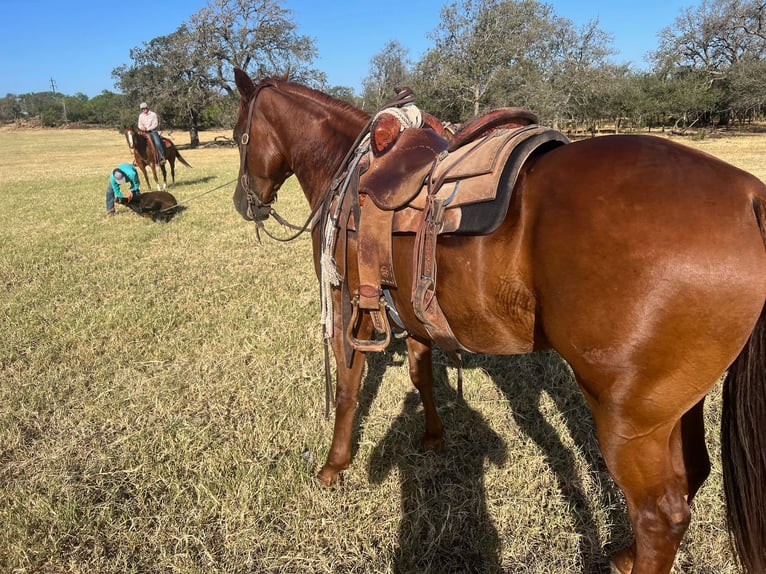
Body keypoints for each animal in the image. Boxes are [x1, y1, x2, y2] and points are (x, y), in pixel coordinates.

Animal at [231, 68, 766, 574]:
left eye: (239, 137)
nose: (243, 202)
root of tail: (750, 197)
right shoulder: (411, 311)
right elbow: (421, 374)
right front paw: (433, 437)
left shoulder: (348, 303)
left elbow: (347, 389)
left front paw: (333, 467)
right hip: (676, 405)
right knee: (694, 473)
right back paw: (627, 554)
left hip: (628, 422)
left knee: (660, 515)